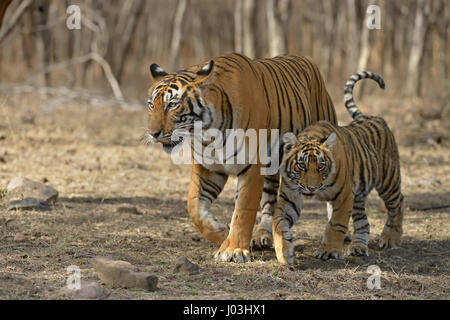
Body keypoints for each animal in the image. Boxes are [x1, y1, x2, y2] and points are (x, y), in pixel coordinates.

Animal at [146, 53, 336, 262]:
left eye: (172, 104)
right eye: (151, 105)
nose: (152, 133)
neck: (208, 134)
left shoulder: (251, 167)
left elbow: (243, 210)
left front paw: (233, 249)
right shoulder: (208, 169)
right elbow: (194, 206)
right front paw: (221, 232)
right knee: (269, 201)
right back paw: (261, 236)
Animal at [272, 72, 406, 264]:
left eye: (321, 166)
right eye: (301, 165)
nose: (312, 188)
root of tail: (371, 116)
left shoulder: (344, 196)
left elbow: (336, 224)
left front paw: (328, 251)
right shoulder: (290, 197)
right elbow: (278, 223)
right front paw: (284, 252)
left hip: (388, 180)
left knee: (398, 203)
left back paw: (390, 238)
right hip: (358, 194)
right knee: (363, 221)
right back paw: (358, 247)